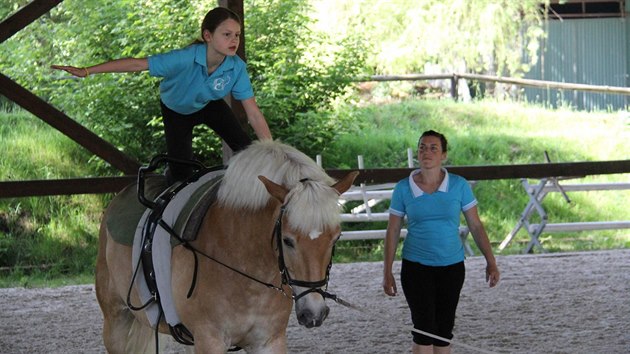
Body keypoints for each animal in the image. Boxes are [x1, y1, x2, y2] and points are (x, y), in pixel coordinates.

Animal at [95, 140, 358, 352]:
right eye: (287, 240)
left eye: (335, 238)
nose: (314, 314)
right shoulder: (209, 340)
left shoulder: (269, 341)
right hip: (116, 322)